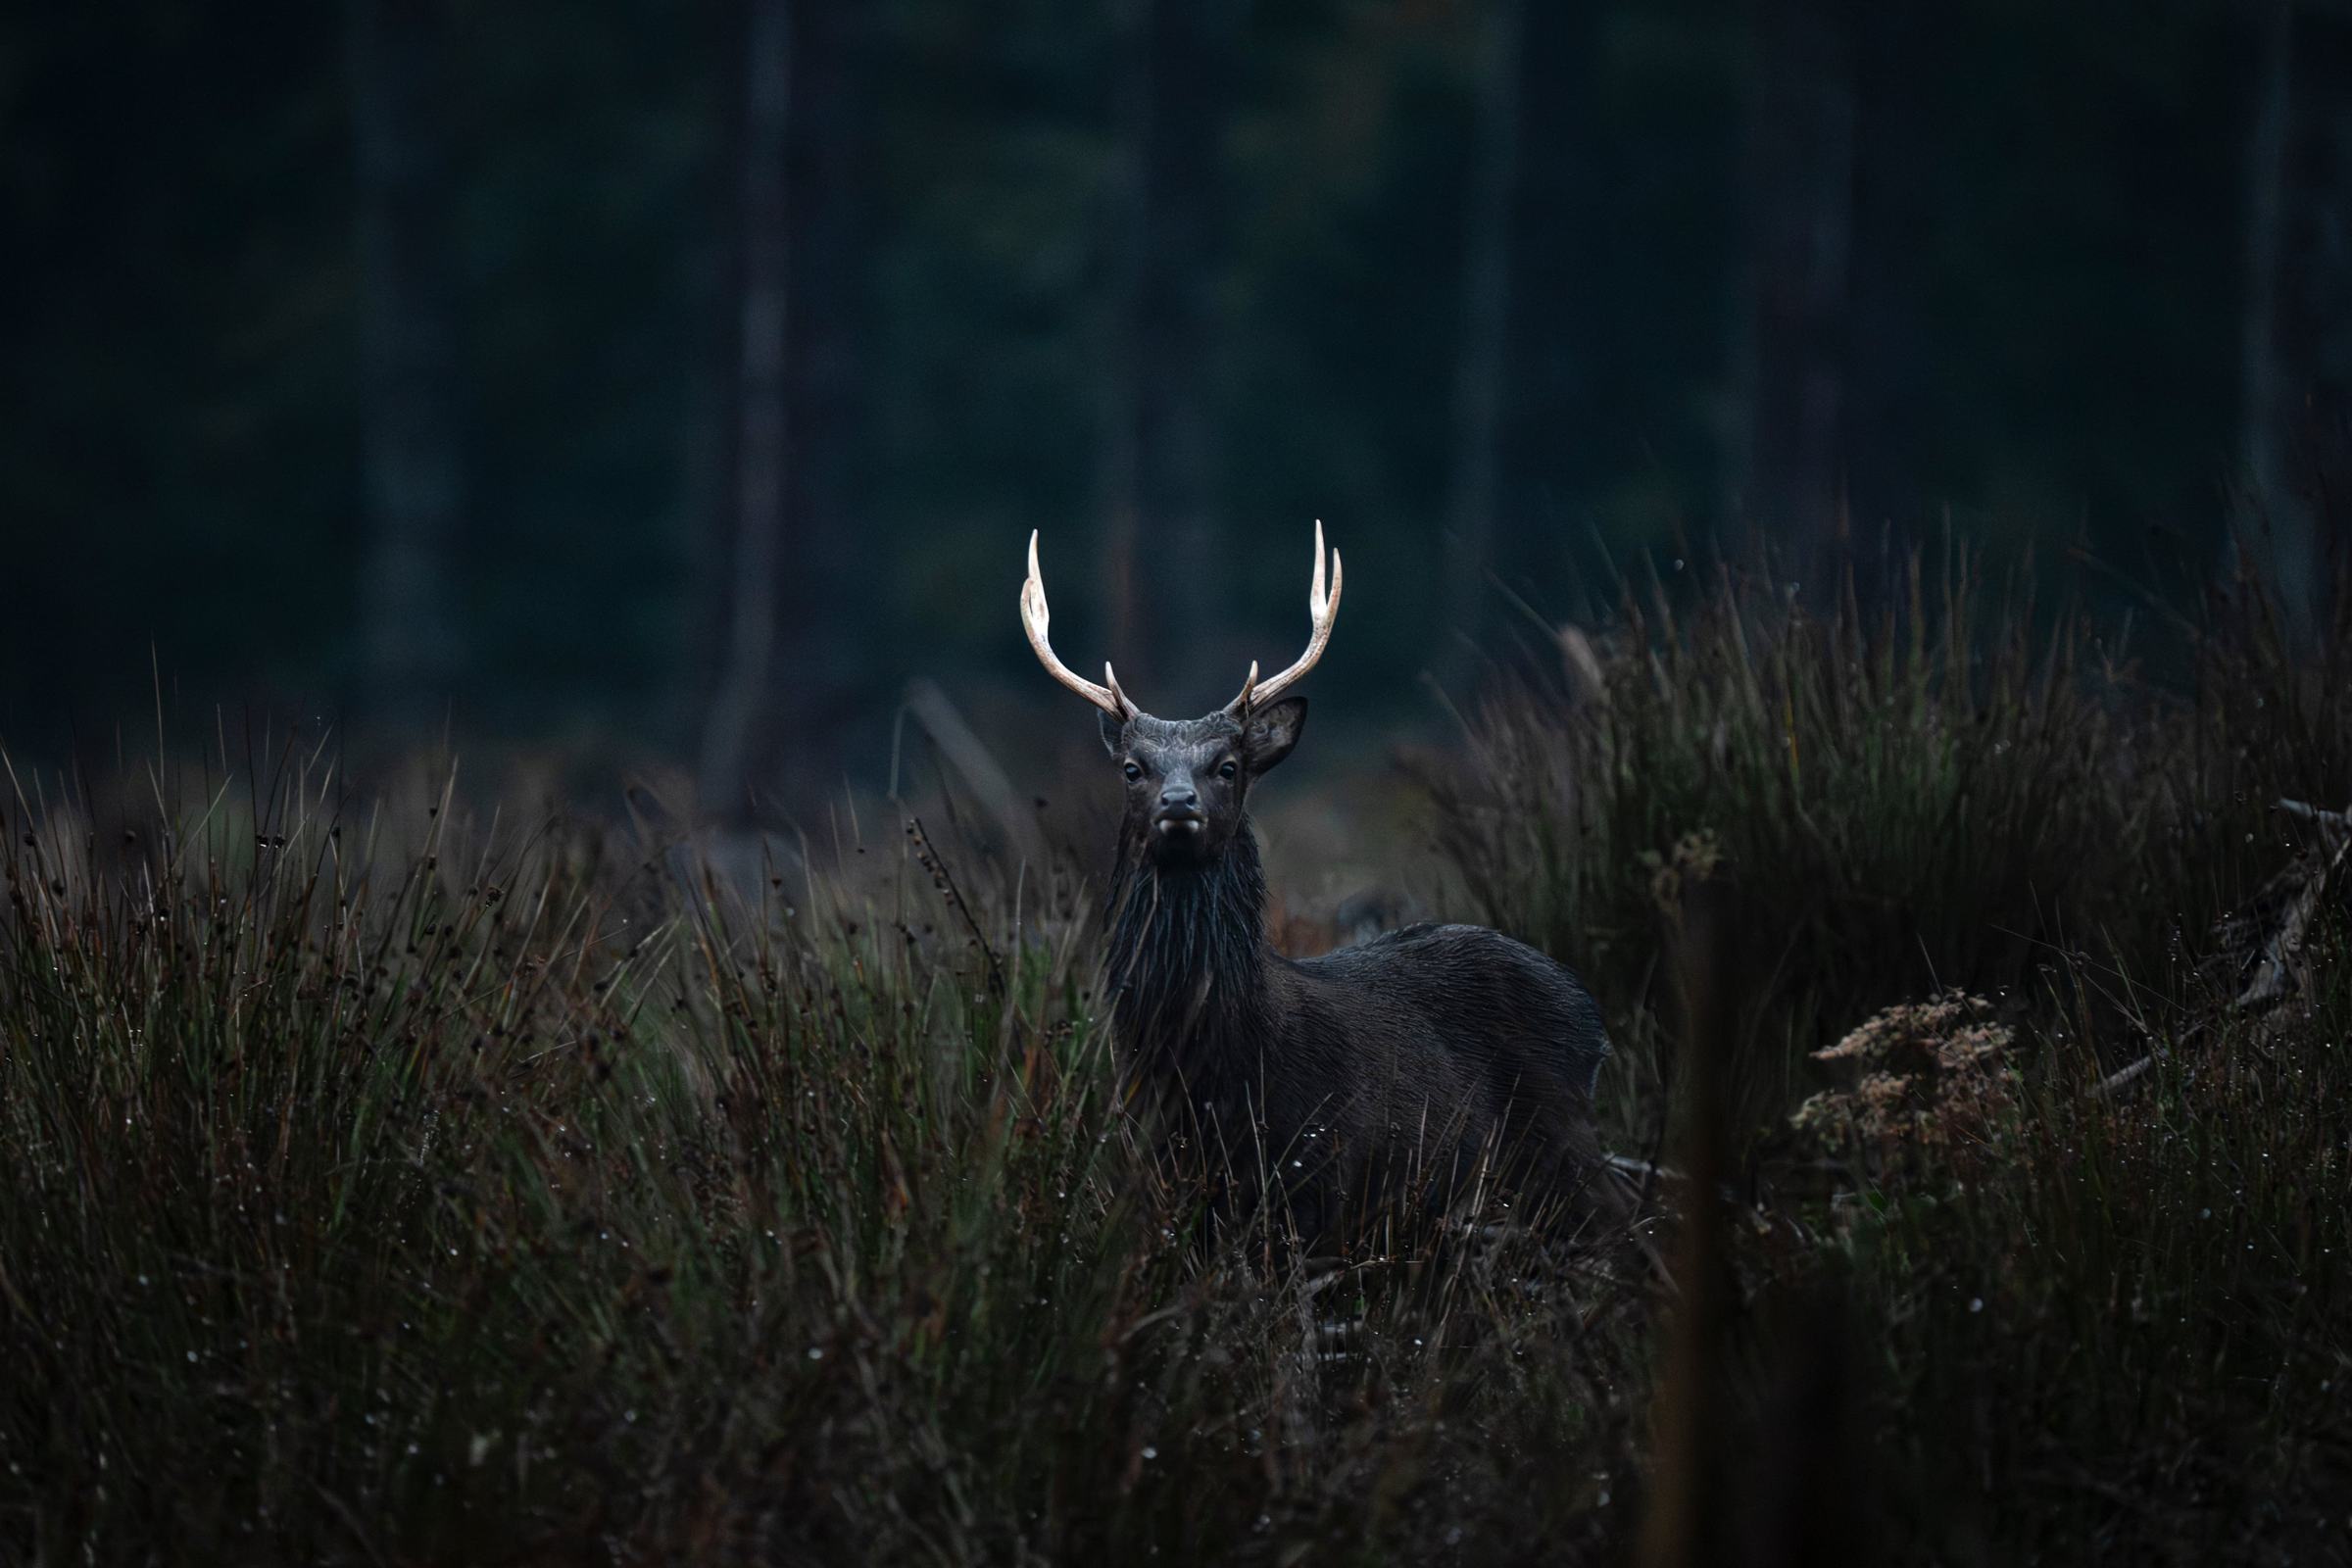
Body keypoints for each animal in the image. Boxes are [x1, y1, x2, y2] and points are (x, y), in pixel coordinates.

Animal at [1019, 523, 1619, 1251]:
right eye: (1133, 768)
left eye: (1228, 765)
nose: (1179, 803)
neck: (1216, 1068)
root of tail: (1590, 1014)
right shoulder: (1163, 1179)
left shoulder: (1321, 1167)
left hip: (1563, 1147)